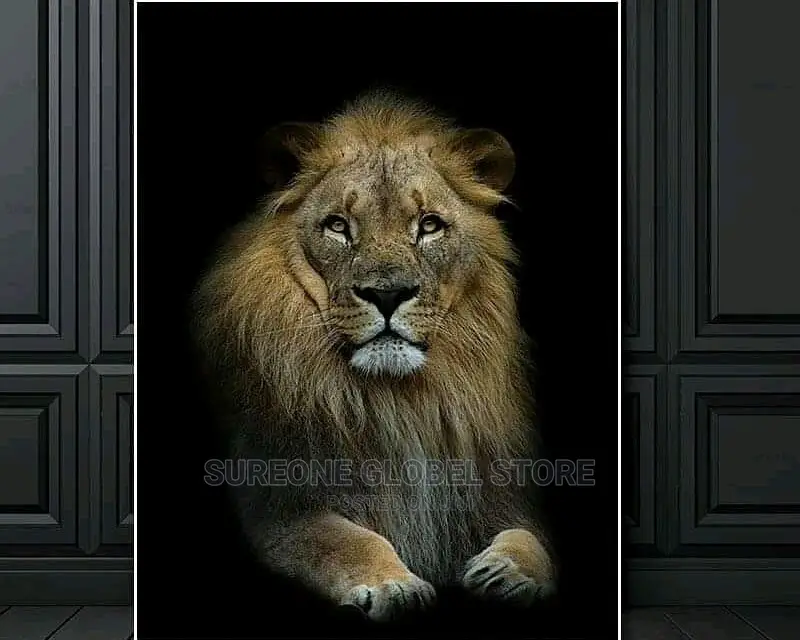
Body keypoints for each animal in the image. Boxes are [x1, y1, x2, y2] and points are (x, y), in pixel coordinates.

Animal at [191, 89, 556, 623]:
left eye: (429, 225)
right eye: (338, 226)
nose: (388, 294)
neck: (399, 402)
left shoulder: (498, 490)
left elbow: (531, 537)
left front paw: (511, 572)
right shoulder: (281, 502)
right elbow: (345, 540)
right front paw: (392, 584)